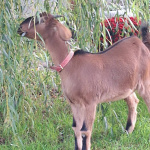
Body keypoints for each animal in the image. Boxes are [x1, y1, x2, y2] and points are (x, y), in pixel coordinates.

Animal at [17, 12, 150, 149]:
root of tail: (142, 44)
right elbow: (76, 128)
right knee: (133, 101)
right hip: (126, 87)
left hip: (145, 82)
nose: (20, 27)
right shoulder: (74, 103)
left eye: (40, 20)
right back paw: (127, 132)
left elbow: (85, 130)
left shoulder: (90, 102)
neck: (69, 64)